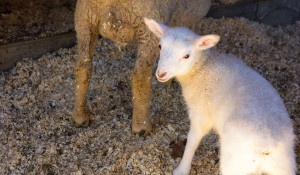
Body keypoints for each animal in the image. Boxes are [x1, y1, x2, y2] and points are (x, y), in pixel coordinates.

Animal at [145, 18, 296, 175]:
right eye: (160, 46)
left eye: (186, 56)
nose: (161, 73)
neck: (202, 68)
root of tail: (267, 145)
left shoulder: (201, 114)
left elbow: (192, 141)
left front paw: (182, 169)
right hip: (283, 164)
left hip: (235, 161)